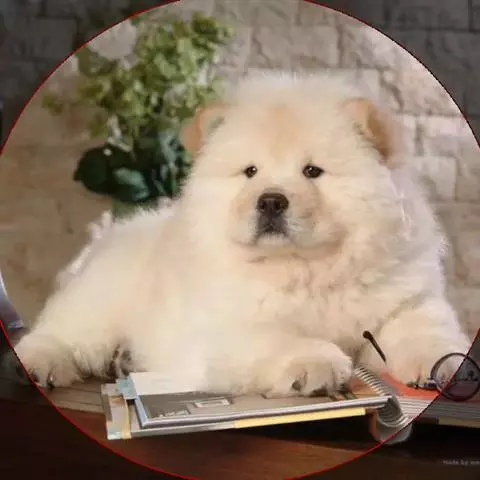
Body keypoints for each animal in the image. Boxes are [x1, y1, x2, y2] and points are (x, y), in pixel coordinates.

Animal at [13, 71, 471, 396]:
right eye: (250, 171)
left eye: (312, 171)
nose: (270, 201)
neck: (305, 269)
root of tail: (107, 235)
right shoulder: (224, 324)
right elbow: (275, 336)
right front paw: (317, 364)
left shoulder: (406, 300)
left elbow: (423, 328)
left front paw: (443, 363)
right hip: (99, 302)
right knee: (60, 332)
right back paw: (41, 365)